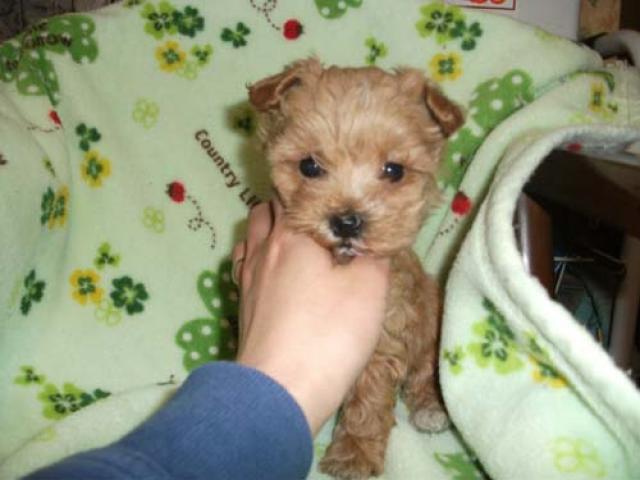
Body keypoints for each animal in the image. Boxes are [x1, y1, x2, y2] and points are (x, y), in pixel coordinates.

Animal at [248, 58, 464, 479]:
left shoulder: (384, 334)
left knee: (425, 369)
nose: (347, 221)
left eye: (394, 170)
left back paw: (431, 407)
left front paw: (354, 455)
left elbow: (369, 398)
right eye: (309, 165)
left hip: (431, 320)